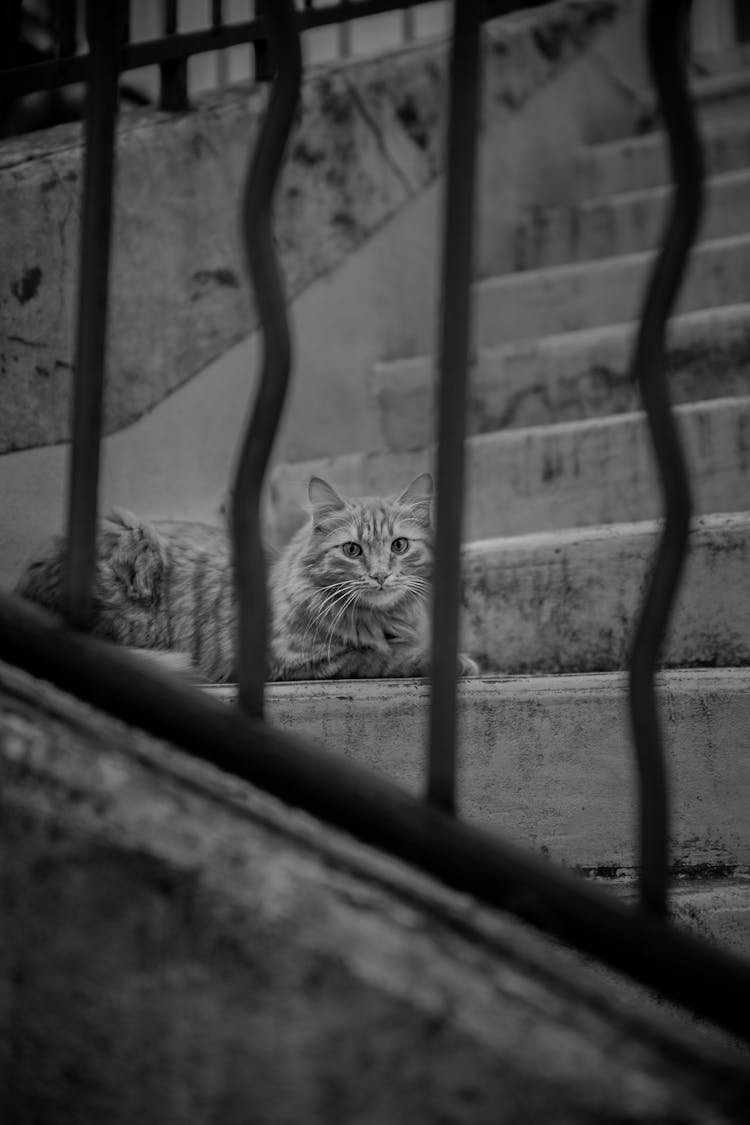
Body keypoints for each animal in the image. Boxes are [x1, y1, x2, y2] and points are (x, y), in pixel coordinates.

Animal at [16, 470, 481, 679]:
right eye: (352, 550)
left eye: (399, 546)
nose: (381, 576)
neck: (378, 616)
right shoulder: (296, 660)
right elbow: (379, 656)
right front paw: (453, 661)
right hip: (134, 541)